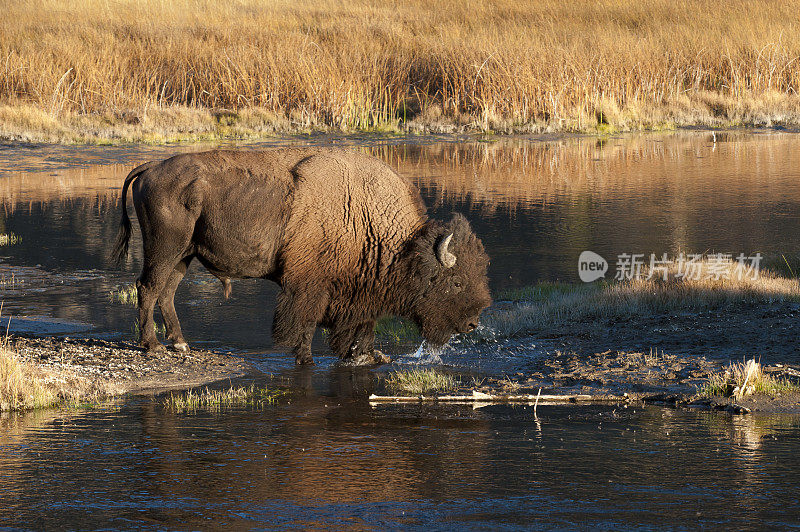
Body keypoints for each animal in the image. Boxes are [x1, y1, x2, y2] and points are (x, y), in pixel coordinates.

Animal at [110, 150, 490, 366]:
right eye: (457, 281)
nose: (472, 323)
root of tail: (150, 168)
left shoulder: (358, 291)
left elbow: (362, 323)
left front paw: (365, 355)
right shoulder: (308, 285)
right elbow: (305, 323)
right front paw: (306, 359)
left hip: (184, 255)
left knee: (167, 292)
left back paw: (180, 344)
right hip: (165, 249)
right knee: (148, 287)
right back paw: (153, 347)